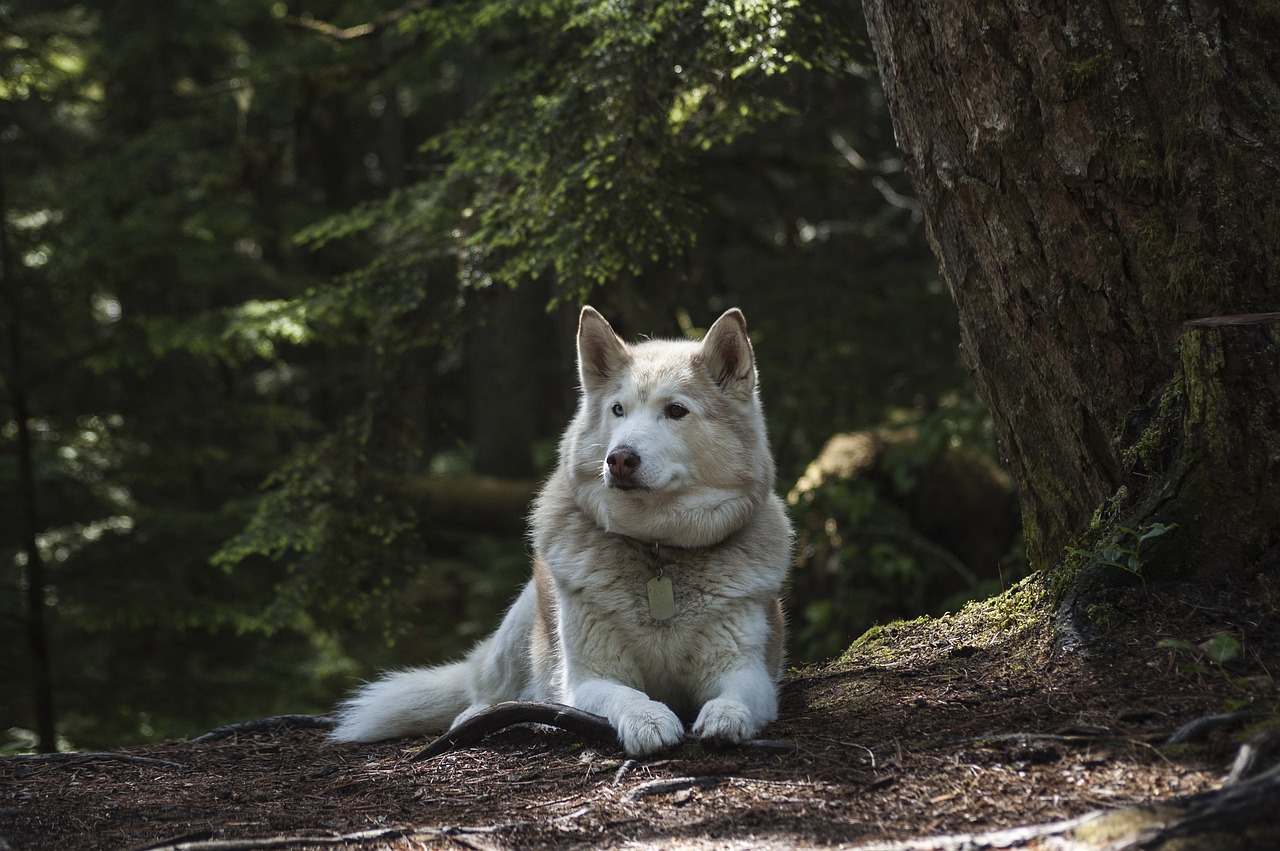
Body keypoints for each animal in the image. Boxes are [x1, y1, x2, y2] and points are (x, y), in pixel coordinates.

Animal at [330, 303, 788, 752]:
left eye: (676, 410)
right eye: (618, 410)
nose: (619, 459)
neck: (657, 548)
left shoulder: (749, 671)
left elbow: (735, 696)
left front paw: (726, 717)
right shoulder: (587, 678)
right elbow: (626, 695)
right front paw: (648, 720)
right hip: (522, 622)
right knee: (490, 694)